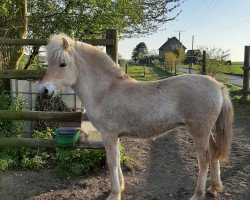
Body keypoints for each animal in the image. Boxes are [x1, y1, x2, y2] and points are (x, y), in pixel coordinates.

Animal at [38, 34, 233, 200]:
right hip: (206, 132)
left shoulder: (108, 135)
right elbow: (117, 161)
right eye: (48, 63)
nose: (44, 90)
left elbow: (111, 162)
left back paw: (198, 194)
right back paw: (214, 188)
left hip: (199, 132)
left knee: (204, 160)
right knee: (214, 153)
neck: (105, 90)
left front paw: (114, 194)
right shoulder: (115, 136)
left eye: (63, 64)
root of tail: (218, 86)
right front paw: (121, 187)